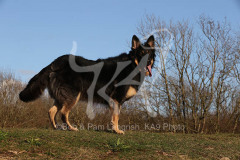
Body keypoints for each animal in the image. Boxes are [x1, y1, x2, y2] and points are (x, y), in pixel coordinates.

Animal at [19, 35, 156, 134]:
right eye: (141, 53)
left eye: (149, 54)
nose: (148, 61)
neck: (132, 65)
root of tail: (55, 63)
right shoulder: (116, 99)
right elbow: (116, 117)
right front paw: (117, 131)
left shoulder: (115, 101)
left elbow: (114, 117)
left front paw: (113, 129)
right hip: (73, 95)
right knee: (63, 113)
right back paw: (71, 128)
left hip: (62, 96)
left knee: (51, 111)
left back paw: (56, 127)